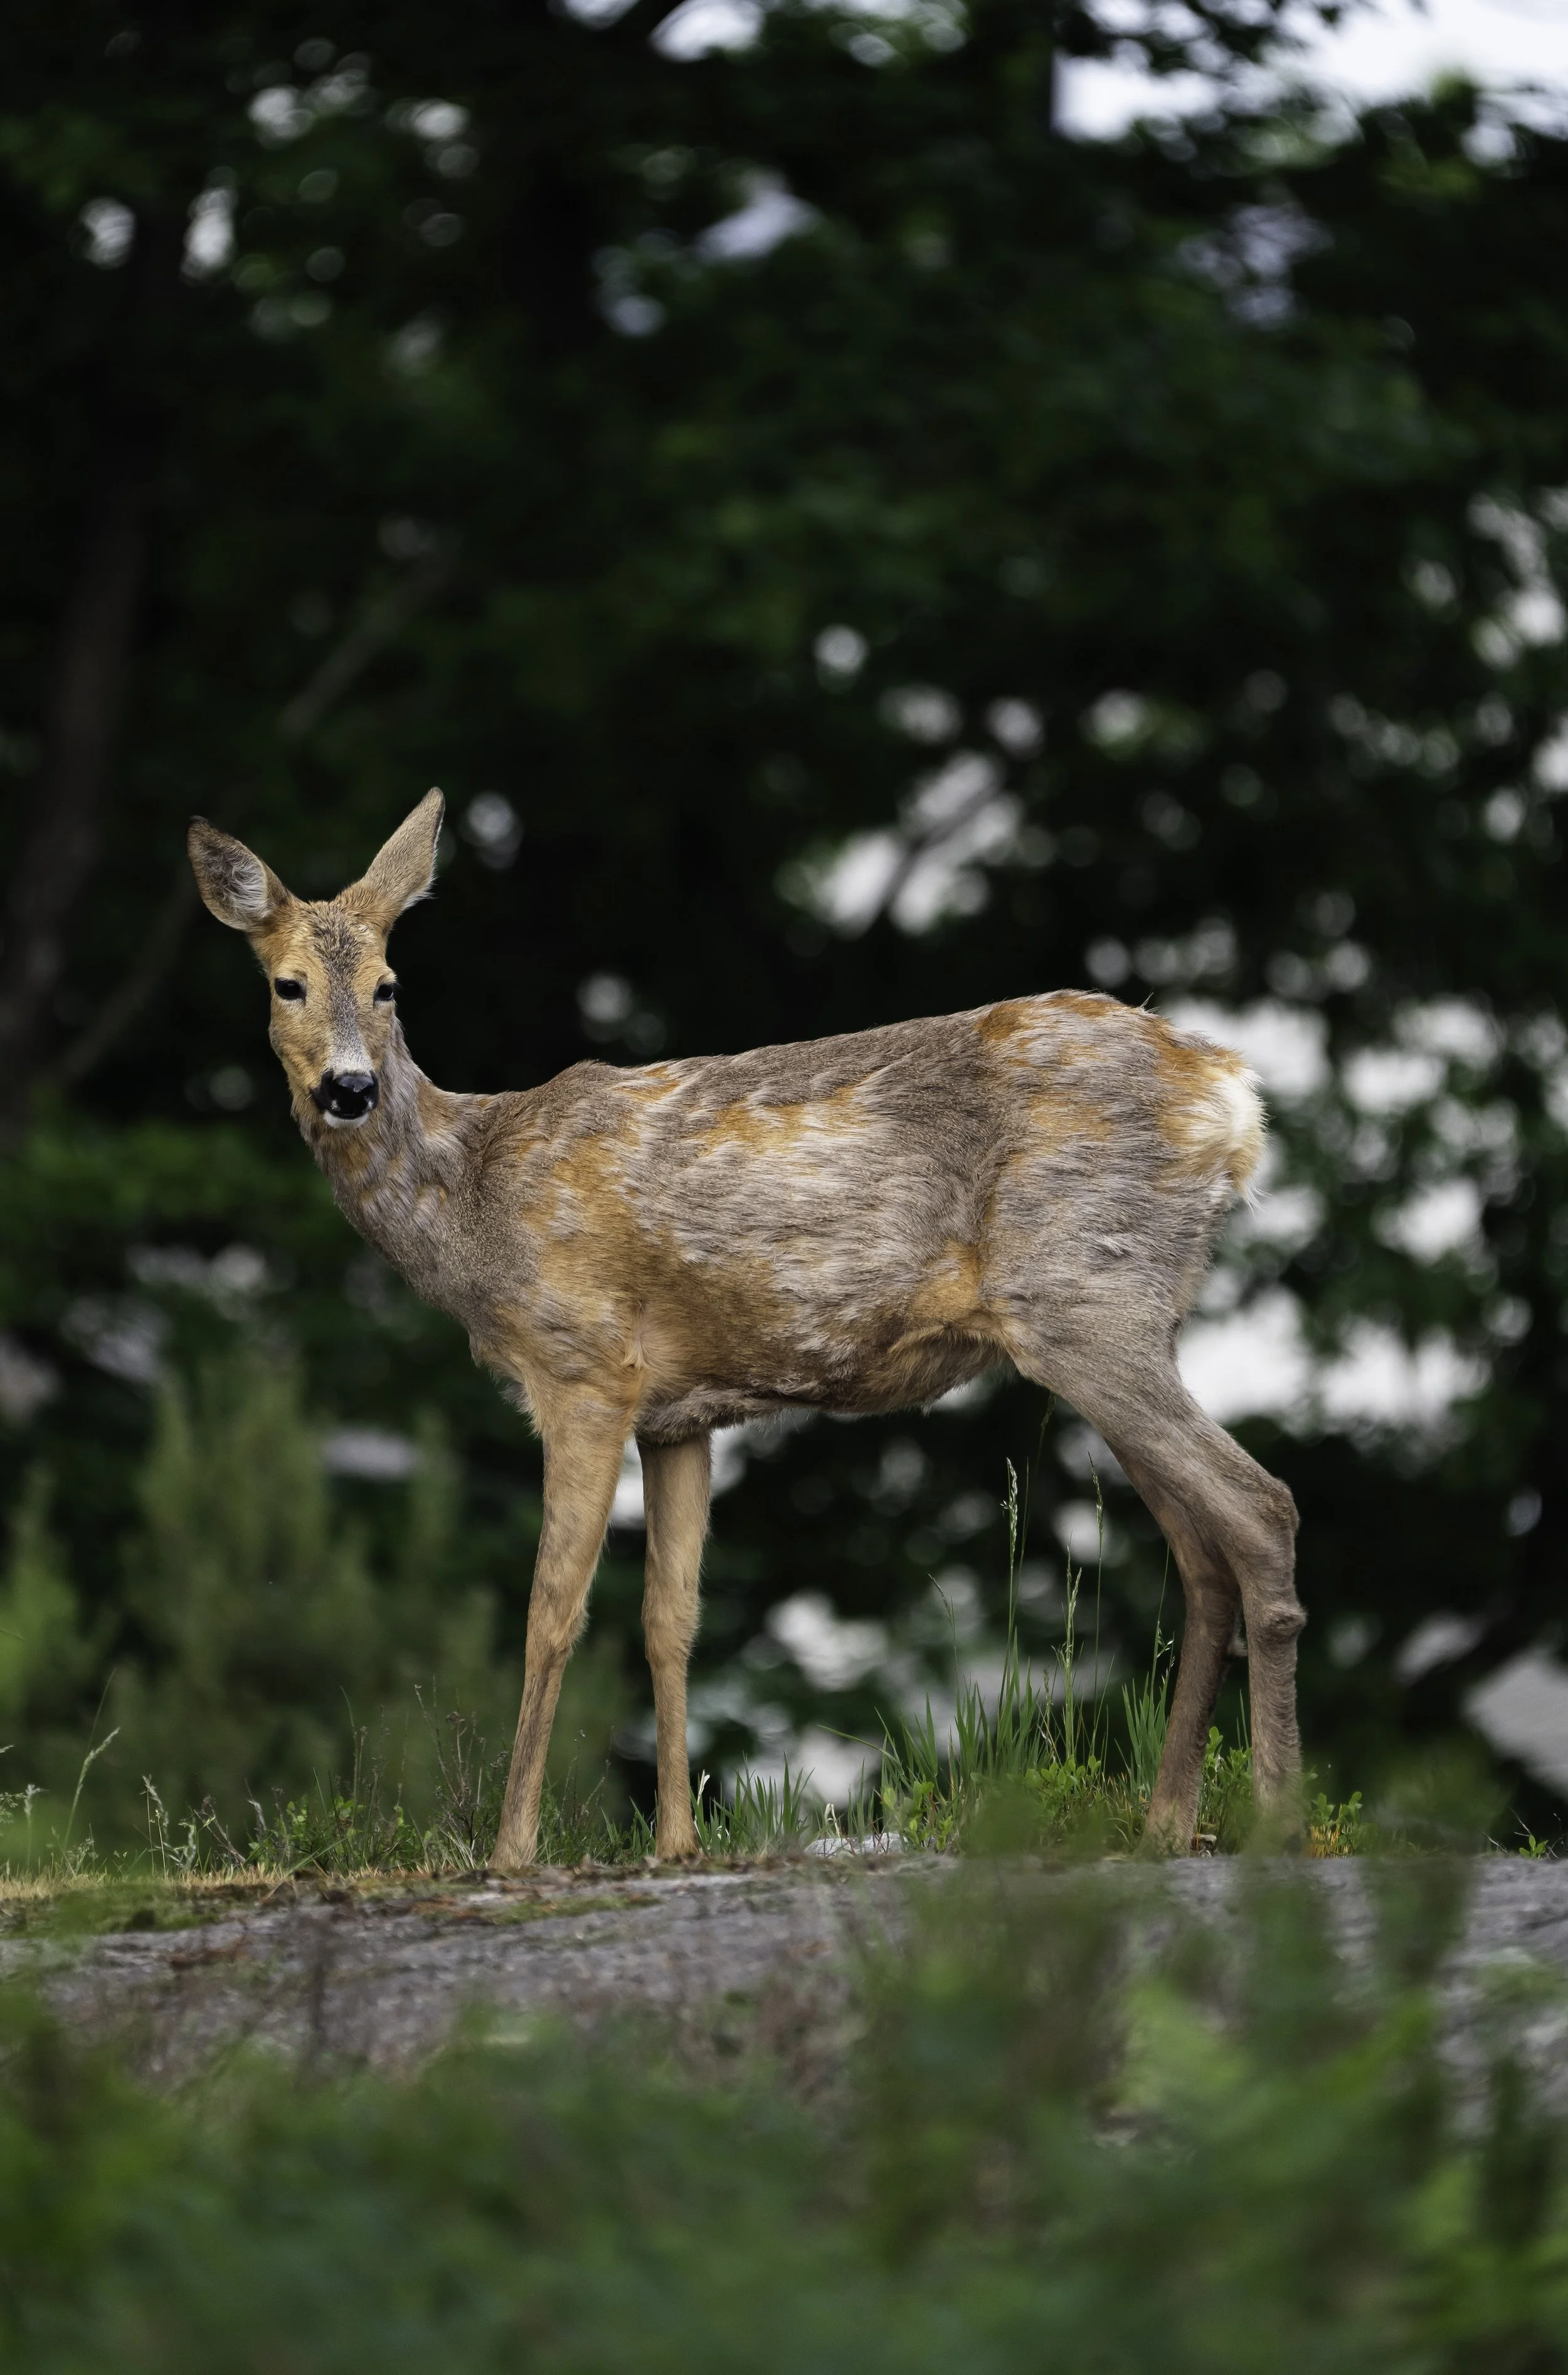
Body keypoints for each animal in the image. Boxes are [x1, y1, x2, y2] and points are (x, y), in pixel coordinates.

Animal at [187, 789, 1303, 1868]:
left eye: (389, 984)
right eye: (287, 984)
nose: (349, 1087)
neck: (474, 1201)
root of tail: (1232, 1096)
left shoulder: (584, 1364)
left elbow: (554, 1609)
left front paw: (509, 1848)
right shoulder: (678, 1413)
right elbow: (670, 1618)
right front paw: (677, 1841)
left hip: (1084, 1297)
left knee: (1262, 1506)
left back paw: (1272, 1816)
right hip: (1125, 1313)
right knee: (1204, 1551)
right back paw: (1168, 1824)